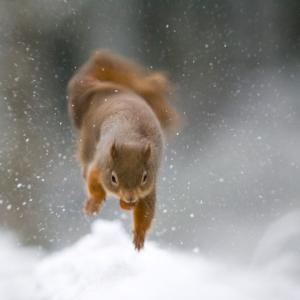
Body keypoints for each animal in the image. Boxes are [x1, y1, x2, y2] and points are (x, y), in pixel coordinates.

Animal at [67, 50, 179, 250]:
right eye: (113, 178)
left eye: (144, 177)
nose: (130, 197)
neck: (130, 140)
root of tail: (108, 88)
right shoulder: (100, 165)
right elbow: (94, 183)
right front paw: (95, 202)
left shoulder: (150, 187)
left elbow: (146, 210)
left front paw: (139, 235)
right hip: (88, 141)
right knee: (85, 166)